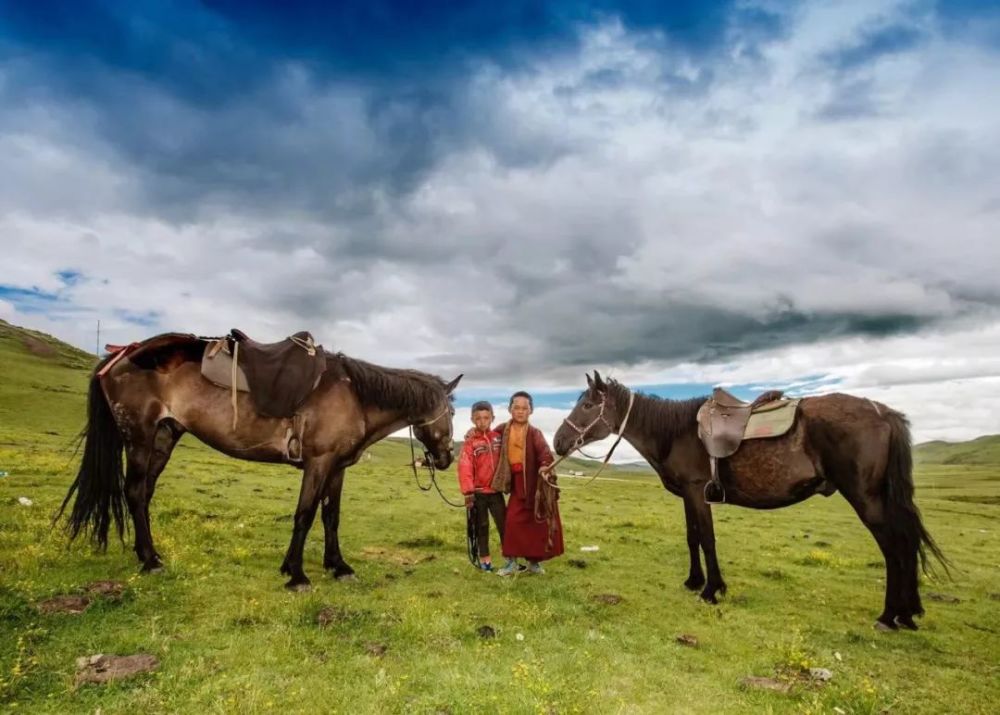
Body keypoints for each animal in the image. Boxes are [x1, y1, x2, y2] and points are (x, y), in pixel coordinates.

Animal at [58, 332, 458, 592]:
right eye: (453, 412)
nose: (446, 458)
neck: (355, 396)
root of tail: (121, 355)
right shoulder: (318, 463)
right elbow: (305, 514)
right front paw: (296, 574)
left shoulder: (337, 468)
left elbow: (331, 517)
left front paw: (338, 566)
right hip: (139, 438)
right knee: (135, 491)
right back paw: (151, 560)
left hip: (163, 437)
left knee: (142, 494)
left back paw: (148, 555)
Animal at [552, 372, 948, 628]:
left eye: (588, 405)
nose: (557, 442)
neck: (675, 433)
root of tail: (885, 414)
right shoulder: (688, 496)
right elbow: (692, 537)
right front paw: (694, 581)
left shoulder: (698, 492)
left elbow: (707, 539)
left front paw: (711, 590)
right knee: (906, 542)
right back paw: (908, 613)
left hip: (866, 498)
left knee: (894, 547)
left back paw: (889, 616)